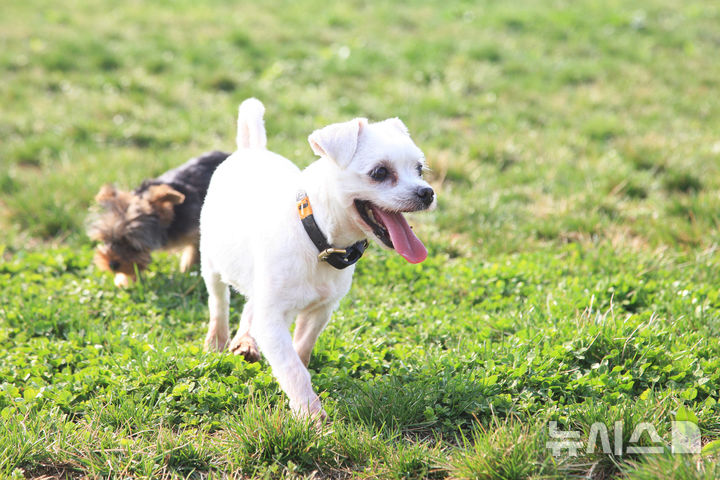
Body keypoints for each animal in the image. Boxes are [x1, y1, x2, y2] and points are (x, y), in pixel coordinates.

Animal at [88, 151, 228, 284]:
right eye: (105, 240)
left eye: (134, 246)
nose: (112, 264)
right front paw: (125, 280)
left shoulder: (196, 228)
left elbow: (195, 249)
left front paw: (188, 269)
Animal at [198, 99, 434, 418]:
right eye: (380, 173)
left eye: (419, 169)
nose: (427, 192)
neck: (319, 240)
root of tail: (252, 150)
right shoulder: (272, 321)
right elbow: (293, 369)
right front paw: (311, 417)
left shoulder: (321, 310)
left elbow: (301, 353)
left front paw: (302, 402)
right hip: (211, 264)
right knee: (219, 303)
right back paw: (217, 340)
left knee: (249, 305)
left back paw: (245, 340)